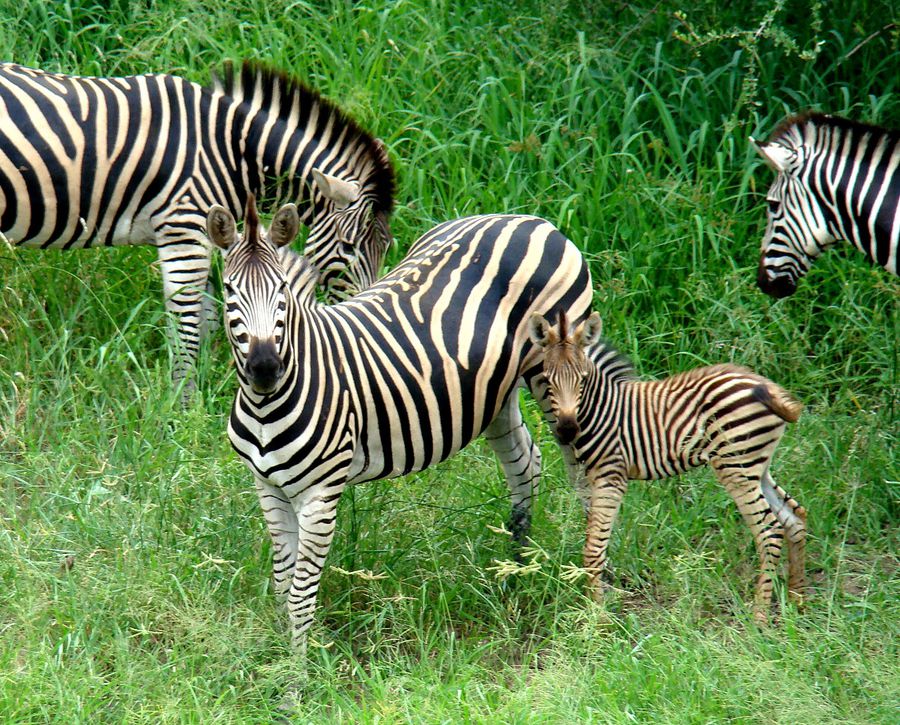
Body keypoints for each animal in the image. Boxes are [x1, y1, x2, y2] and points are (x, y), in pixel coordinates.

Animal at [207, 194, 596, 652]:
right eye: (229, 291)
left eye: (282, 289)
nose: (265, 368)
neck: (267, 405)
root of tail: (527, 218)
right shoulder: (267, 486)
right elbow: (284, 582)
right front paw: (281, 654)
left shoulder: (320, 493)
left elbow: (301, 592)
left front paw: (299, 668)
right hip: (493, 394)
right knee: (526, 466)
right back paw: (517, 575)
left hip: (553, 371)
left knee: (587, 469)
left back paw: (591, 580)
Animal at [528, 310, 808, 624]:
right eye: (547, 380)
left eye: (583, 379)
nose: (566, 430)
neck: (601, 410)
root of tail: (767, 386)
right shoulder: (591, 476)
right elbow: (594, 538)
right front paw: (598, 604)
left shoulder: (611, 474)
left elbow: (593, 549)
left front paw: (597, 617)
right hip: (754, 465)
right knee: (794, 518)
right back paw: (797, 600)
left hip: (736, 465)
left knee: (769, 531)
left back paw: (759, 616)